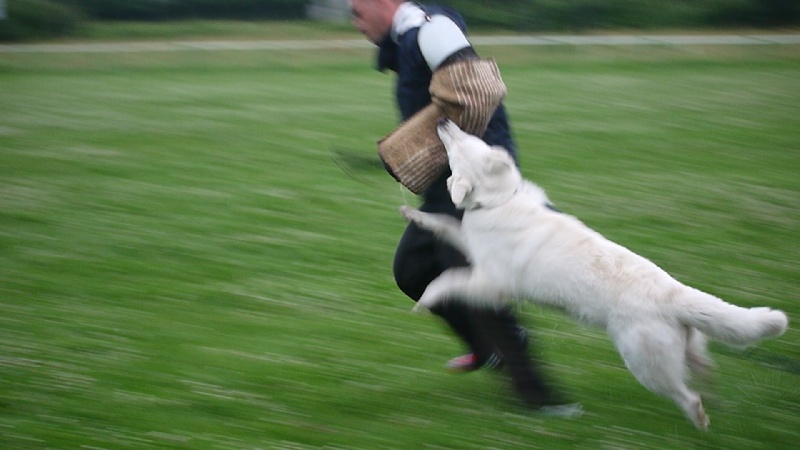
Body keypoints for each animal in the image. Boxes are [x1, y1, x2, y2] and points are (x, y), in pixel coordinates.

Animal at [400, 118, 788, 428]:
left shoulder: (492, 284)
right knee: (706, 373)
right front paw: (413, 214)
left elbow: (445, 281)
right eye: (467, 138)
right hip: (688, 350)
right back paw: (720, 406)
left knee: (687, 395)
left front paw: (425, 301)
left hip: (645, 364)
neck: (501, 199)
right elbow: (444, 222)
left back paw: (701, 421)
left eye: (460, 147)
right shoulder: (469, 244)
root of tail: (675, 294)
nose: (444, 121)